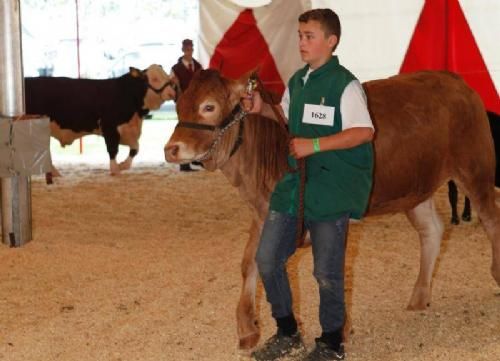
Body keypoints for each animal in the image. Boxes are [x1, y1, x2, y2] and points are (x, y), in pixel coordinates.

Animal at [25, 65, 178, 176]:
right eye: (155, 79)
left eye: (167, 77)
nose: (172, 93)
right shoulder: (109, 127)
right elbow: (113, 150)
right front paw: (115, 170)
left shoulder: (127, 130)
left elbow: (135, 148)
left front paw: (123, 165)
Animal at [164, 69, 500, 350]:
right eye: (179, 105)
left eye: (209, 106)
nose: (171, 149)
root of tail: (452, 78)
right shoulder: (265, 214)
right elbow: (251, 263)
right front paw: (248, 330)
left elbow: (330, 271)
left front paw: (338, 331)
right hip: (416, 188)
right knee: (432, 229)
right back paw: (419, 297)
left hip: (475, 169)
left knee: (491, 219)